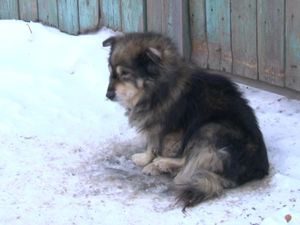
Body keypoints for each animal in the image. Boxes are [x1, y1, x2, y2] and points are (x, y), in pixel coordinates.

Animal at [102, 32, 270, 210]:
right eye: (111, 73)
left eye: (125, 74)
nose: (108, 95)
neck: (158, 88)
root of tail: (255, 169)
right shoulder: (158, 125)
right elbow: (152, 143)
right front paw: (145, 158)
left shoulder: (171, 130)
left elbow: (156, 146)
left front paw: (149, 160)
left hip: (209, 128)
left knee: (189, 163)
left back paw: (161, 164)